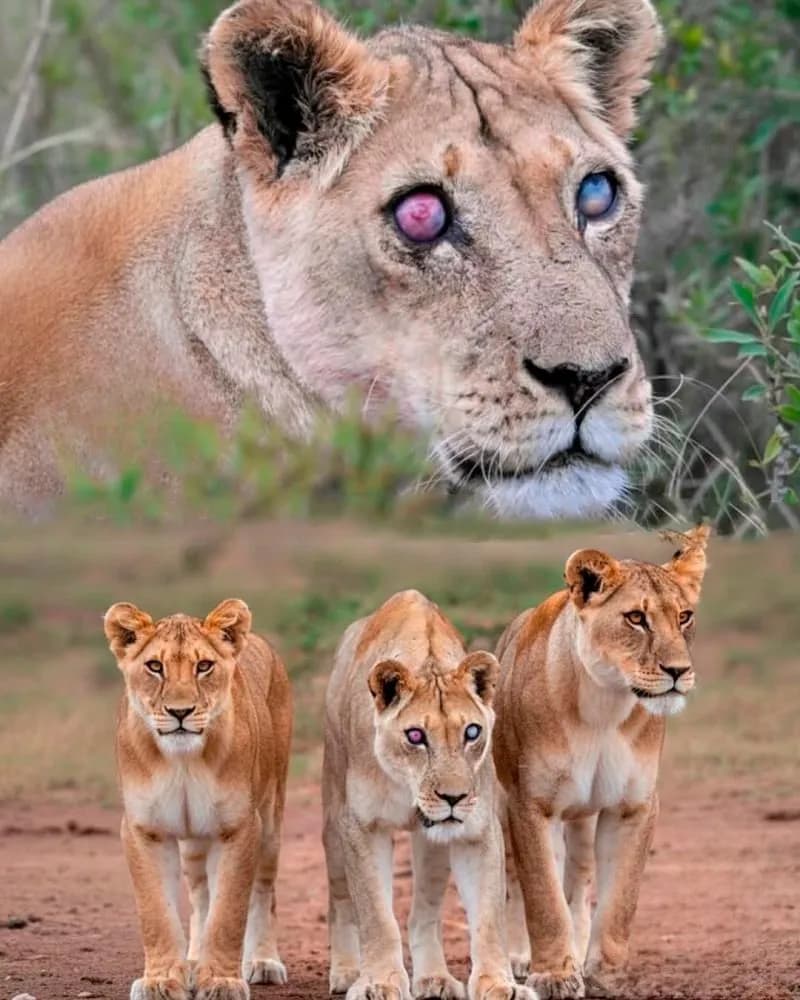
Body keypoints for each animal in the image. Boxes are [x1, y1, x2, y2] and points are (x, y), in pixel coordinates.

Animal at [104, 598, 292, 1000]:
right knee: (200, 894)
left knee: (263, 891)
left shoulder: (239, 827)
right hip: (193, 841)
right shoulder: (144, 830)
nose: (180, 712)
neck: (182, 762)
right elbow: (156, 912)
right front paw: (161, 980)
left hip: (271, 819)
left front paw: (221, 981)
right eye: (154, 666)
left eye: (203, 666)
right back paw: (192, 963)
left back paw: (263, 962)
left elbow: (229, 913)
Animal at [322, 589, 536, 1000]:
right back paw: (347, 971)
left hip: (432, 844)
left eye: (472, 732)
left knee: (424, 912)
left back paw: (434, 978)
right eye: (415, 736)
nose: (453, 798)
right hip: (332, 816)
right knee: (341, 899)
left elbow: (488, 918)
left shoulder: (477, 830)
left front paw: (498, 985)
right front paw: (379, 982)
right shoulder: (361, 825)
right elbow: (376, 914)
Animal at [492, 526, 710, 999]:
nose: (678, 671)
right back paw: (519, 956)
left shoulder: (634, 806)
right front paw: (553, 975)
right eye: (636, 618)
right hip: (502, 805)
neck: (606, 707)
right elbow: (542, 896)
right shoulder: (531, 804)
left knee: (578, 881)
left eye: (684, 616)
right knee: (515, 879)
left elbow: (619, 901)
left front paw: (605, 975)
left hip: (582, 817)